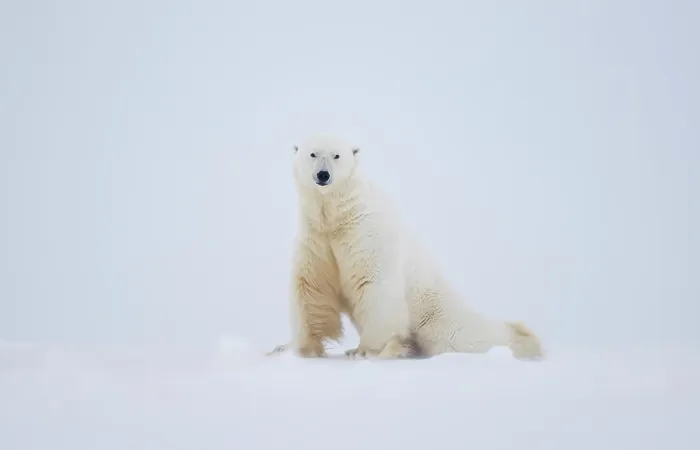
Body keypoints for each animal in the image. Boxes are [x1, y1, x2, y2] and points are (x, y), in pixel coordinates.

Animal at [268, 134, 543, 360]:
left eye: (337, 155)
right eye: (312, 154)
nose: (323, 175)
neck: (340, 217)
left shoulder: (366, 234)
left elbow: (374, 284)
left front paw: (366, 351)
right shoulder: (316, 239)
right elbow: (311, 286)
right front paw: (298, 348)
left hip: (432, 307)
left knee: (461, 334)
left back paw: (522, 338)